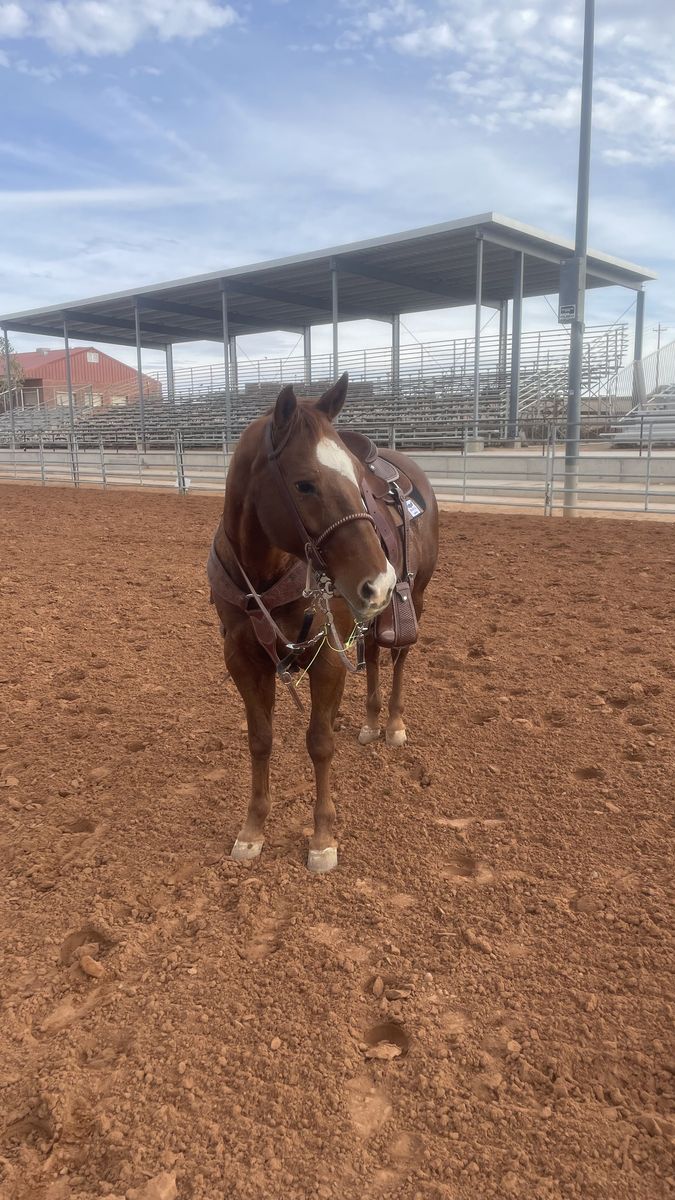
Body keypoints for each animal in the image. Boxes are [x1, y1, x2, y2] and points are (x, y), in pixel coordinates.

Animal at [208, 372, 438, 873]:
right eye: (304, 484)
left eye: (355, 479)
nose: (379, 580)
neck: (264, 576)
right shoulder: (241, 658)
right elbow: (260, 739)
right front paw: (252, 830)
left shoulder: (327, 655)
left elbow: (320, 742)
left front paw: (322, 838)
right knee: (374, 656)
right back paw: (370, 722)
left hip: (414, 599)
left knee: (397, 659)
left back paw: (393, 724)